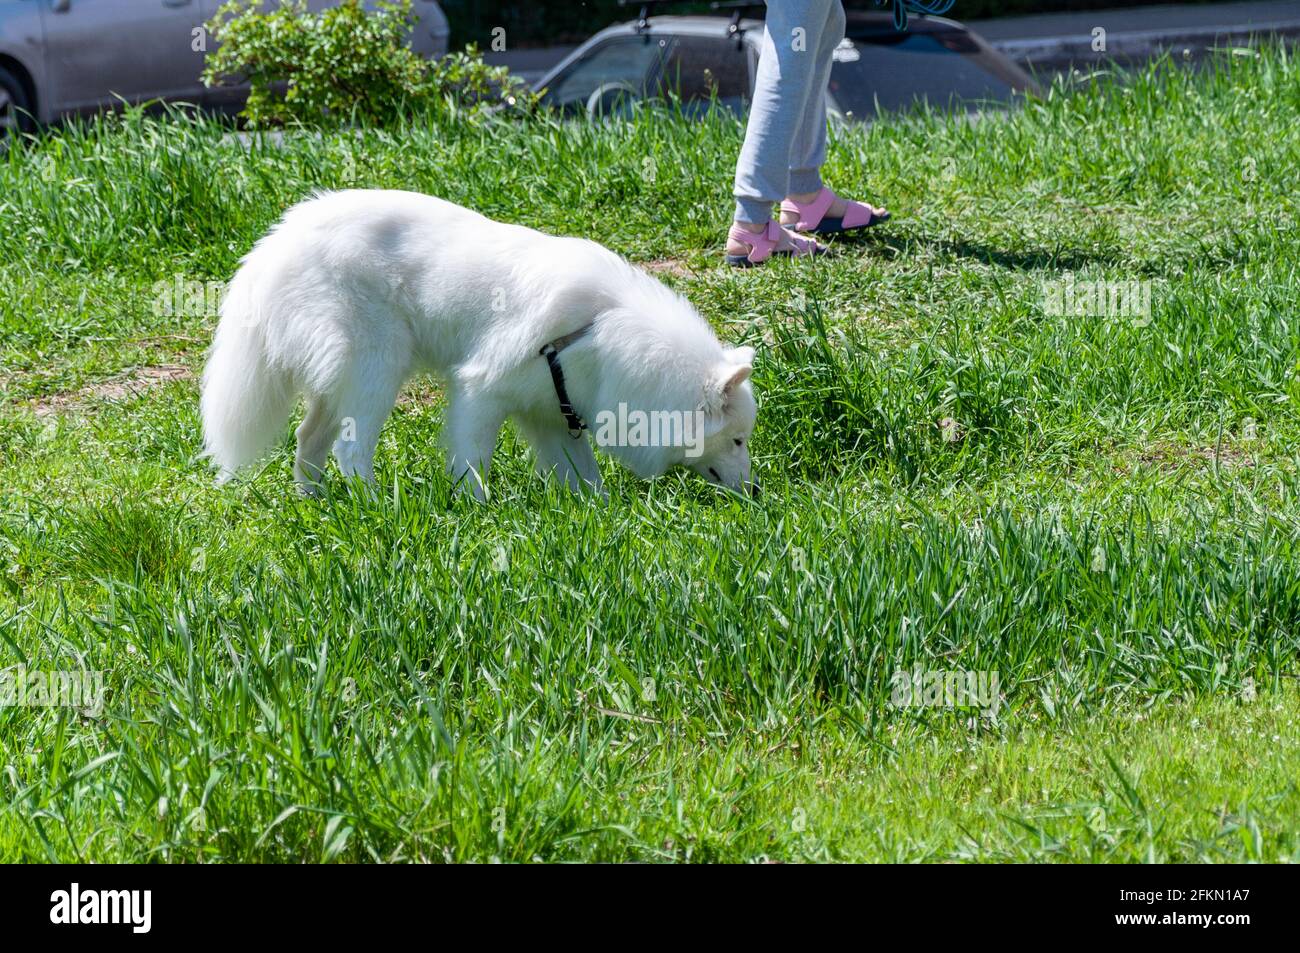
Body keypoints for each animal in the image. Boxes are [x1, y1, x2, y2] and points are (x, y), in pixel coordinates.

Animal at [197, 187, 759, 499]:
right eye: (737, 440)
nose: (755, 490)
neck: (601, 328)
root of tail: (278, 240)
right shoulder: (479, 391)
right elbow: (472, 463)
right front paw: (476, 509)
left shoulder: (550, 412)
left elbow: (586, 479)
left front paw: (595, 514)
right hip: (377, 371)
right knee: (349, 449)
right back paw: (375, 506)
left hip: (344, 384)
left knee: (308, 440)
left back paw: (315, 503)